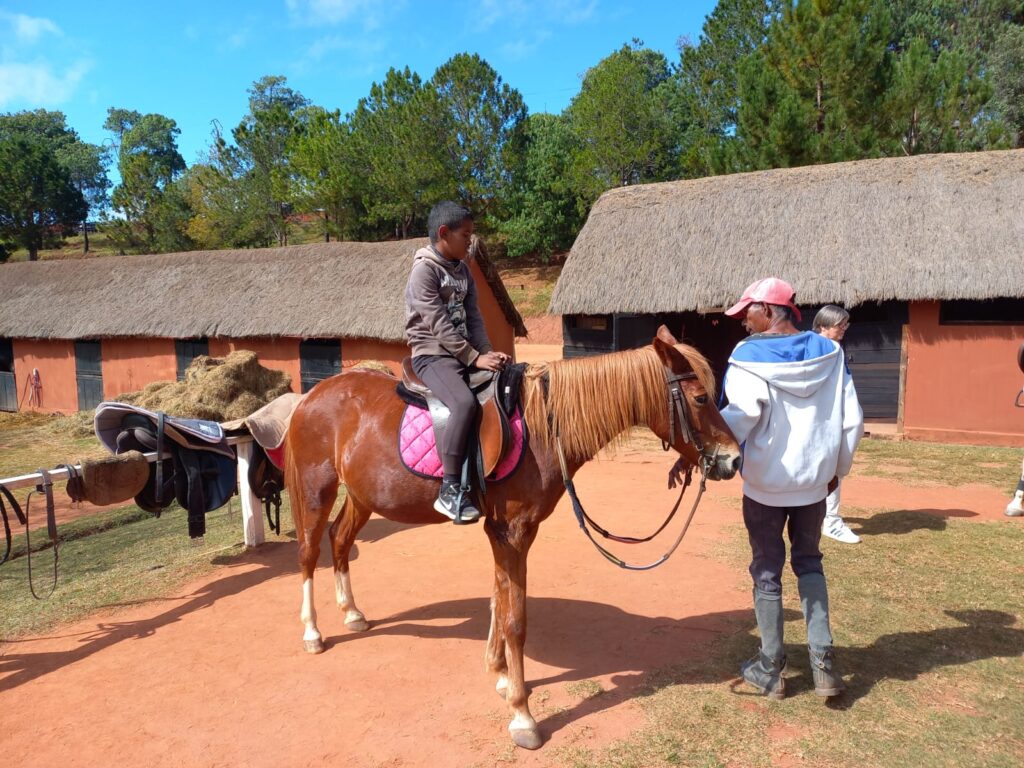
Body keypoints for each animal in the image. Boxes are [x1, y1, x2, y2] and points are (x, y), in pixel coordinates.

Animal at [284, 325, 741, 753]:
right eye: (701, 398)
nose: (734, 460)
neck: (543, 428)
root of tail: (312, 396)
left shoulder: (510, 531)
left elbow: (499, 598)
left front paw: (500, 673)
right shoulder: (512, 531)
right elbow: (515, 618)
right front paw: (522, 715)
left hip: (361, 496)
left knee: (339, 540)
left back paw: (352, 612)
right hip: (316, 487)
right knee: (308, 553)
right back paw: (312, 633)